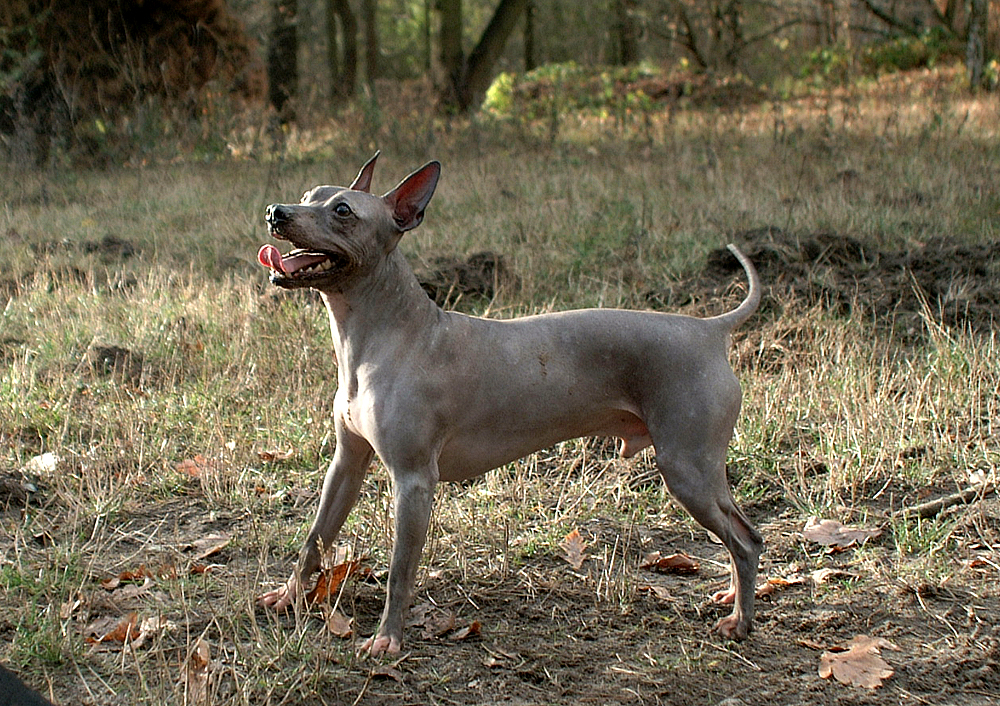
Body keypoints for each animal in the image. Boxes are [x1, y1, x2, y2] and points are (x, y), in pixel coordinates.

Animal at [258, 154, 764, 656]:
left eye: (343, 211)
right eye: (309, 195)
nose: (275, 212)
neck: (382, 337)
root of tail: (708, 329)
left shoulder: (414, 481)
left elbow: (400, 571)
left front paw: (388, 639)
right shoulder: (346, 464)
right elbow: (314, 540)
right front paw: (288, 597)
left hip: (686, 469)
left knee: (747, 540)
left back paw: (740, 621)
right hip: (697, 472)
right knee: (741, 534)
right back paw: (731, 597)